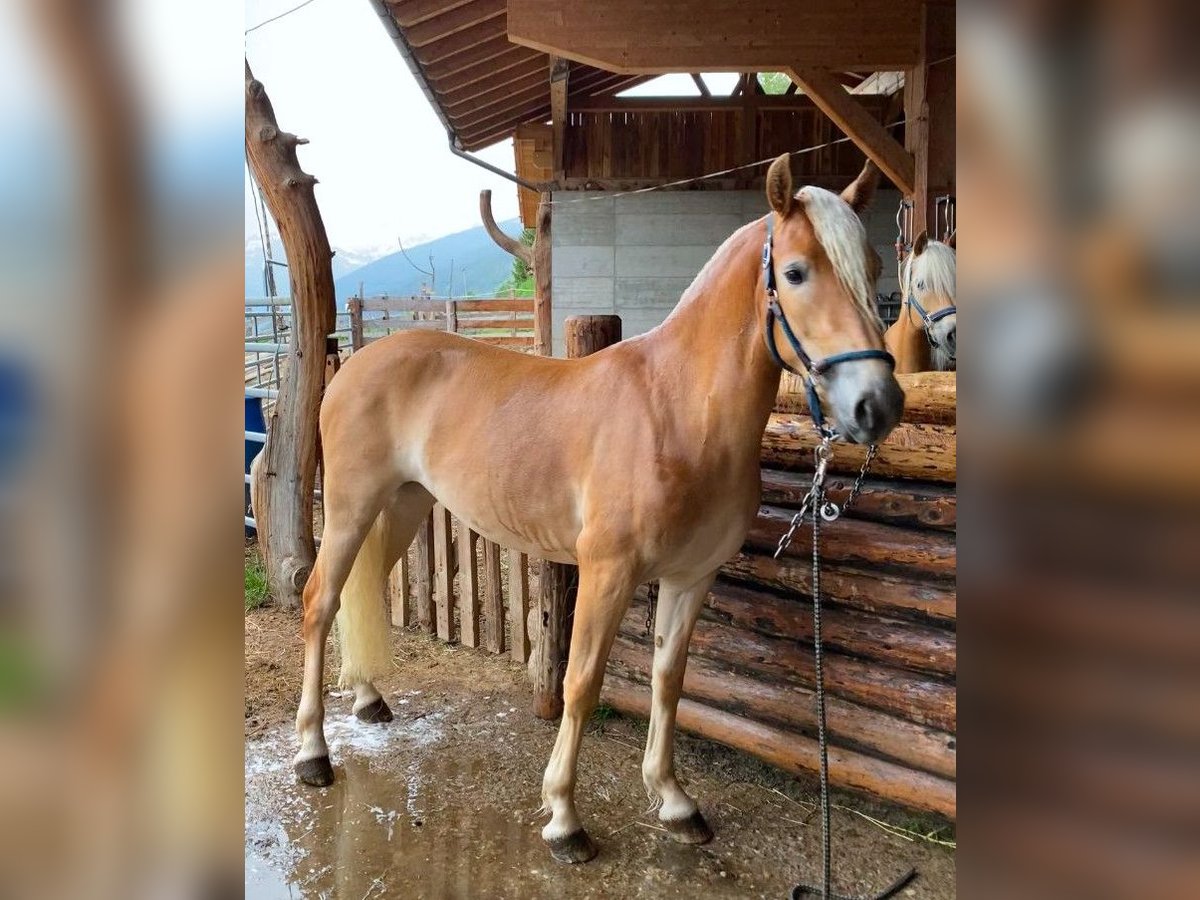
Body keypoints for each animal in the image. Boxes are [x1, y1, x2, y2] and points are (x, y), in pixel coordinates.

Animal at [292, 157, 902, 868]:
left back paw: (367, 699)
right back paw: (312, 754)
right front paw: (564, 819)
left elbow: (669, 680)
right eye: (797, 272)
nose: (877, 405)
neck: (677, 413)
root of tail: (354, 362)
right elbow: (581, 683)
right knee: (319, 601)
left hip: (404, 505)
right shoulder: (607, 573)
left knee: (359, 591)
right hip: (350, 509)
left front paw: (674, 802)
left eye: (874, 267)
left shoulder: (691, 578)